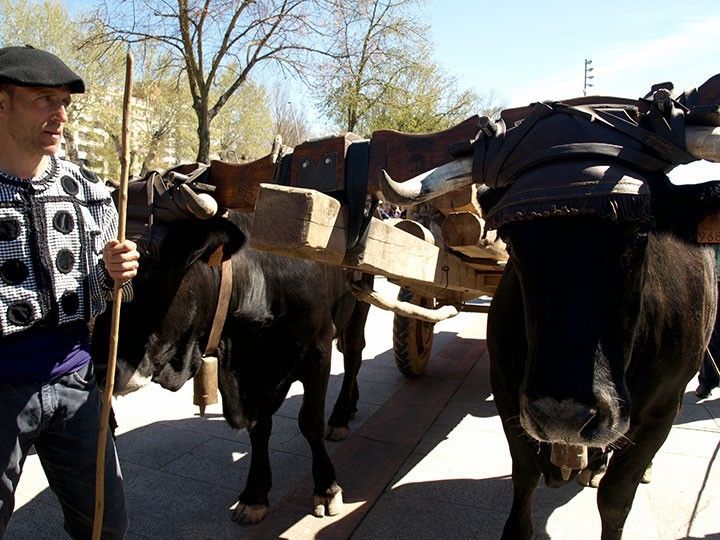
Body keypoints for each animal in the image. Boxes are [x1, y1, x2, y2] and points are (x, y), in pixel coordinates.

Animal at [92, 210, 368, 524]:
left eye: (158, 273)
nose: (102, 369)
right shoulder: (254, 377)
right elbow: (259, 429)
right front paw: (254, 496)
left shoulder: (317, 349)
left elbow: (310, 421)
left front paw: (326, 488)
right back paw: (350, 407)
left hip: (359, 304)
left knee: (353, 358)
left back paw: (340, 416)